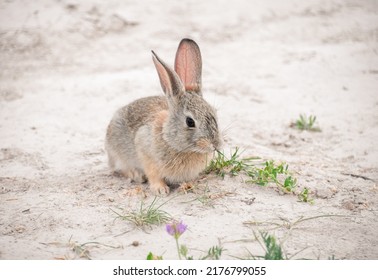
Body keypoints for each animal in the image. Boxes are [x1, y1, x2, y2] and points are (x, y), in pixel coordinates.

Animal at [105, 37, 221, 195]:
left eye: (214, 113)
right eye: (190, 122)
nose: (215, 145)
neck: (169, 138)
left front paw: (188, 185)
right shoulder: (146, 153)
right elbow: (153, 174)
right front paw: (160, 189)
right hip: (117, 153)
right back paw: (136, 175)